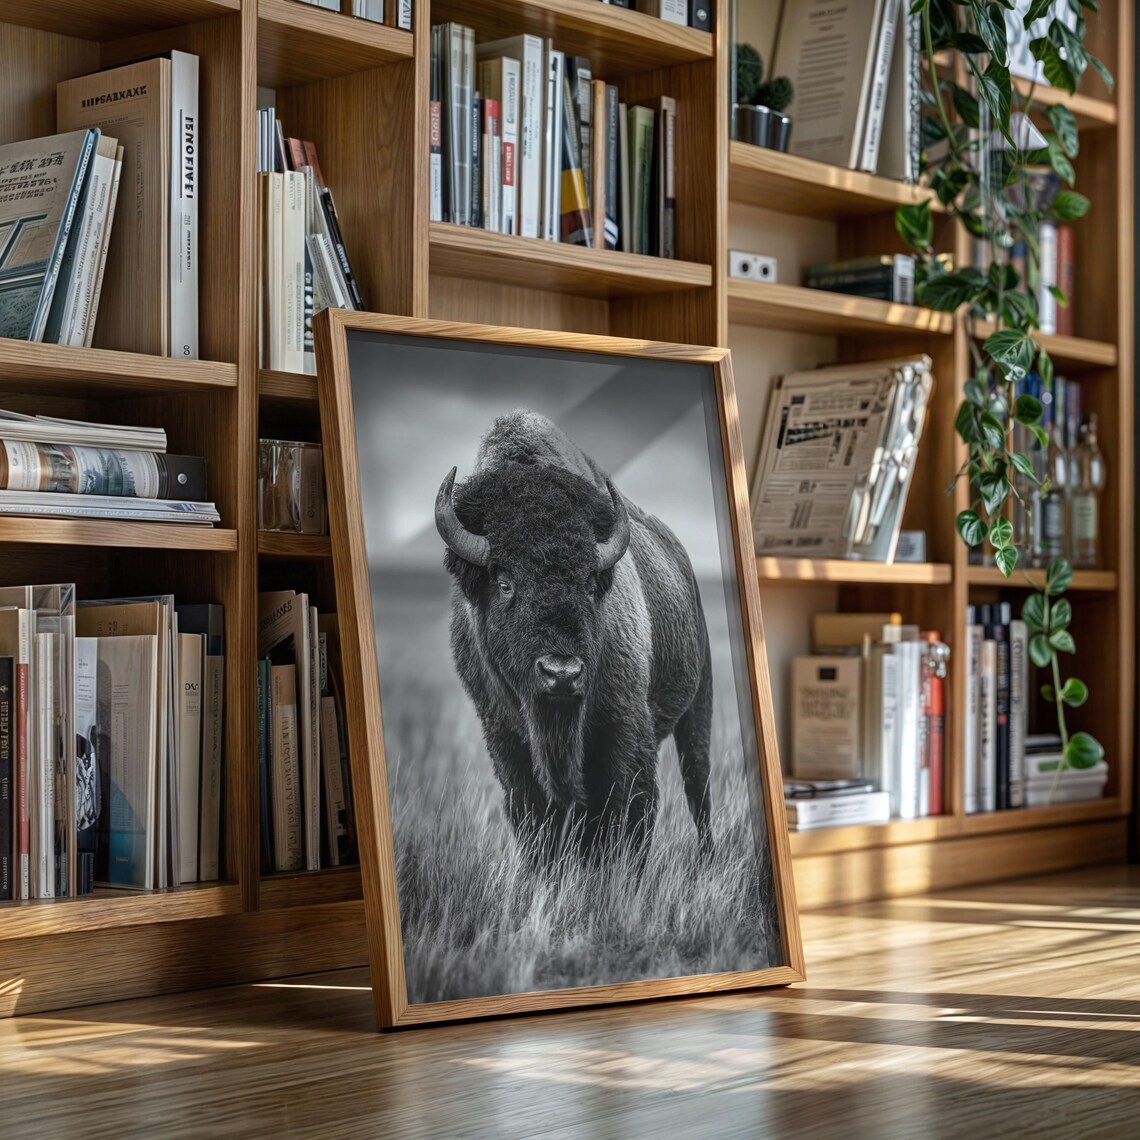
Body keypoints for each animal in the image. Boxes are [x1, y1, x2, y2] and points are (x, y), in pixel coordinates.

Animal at [435, 410, 713, 862]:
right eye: (505, 583)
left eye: (588, 583)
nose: (561, 673)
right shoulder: (505, 737)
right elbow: (536, 820)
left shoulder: (624, 728)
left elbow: (628, 812)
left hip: (699, 705)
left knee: (698, 786)